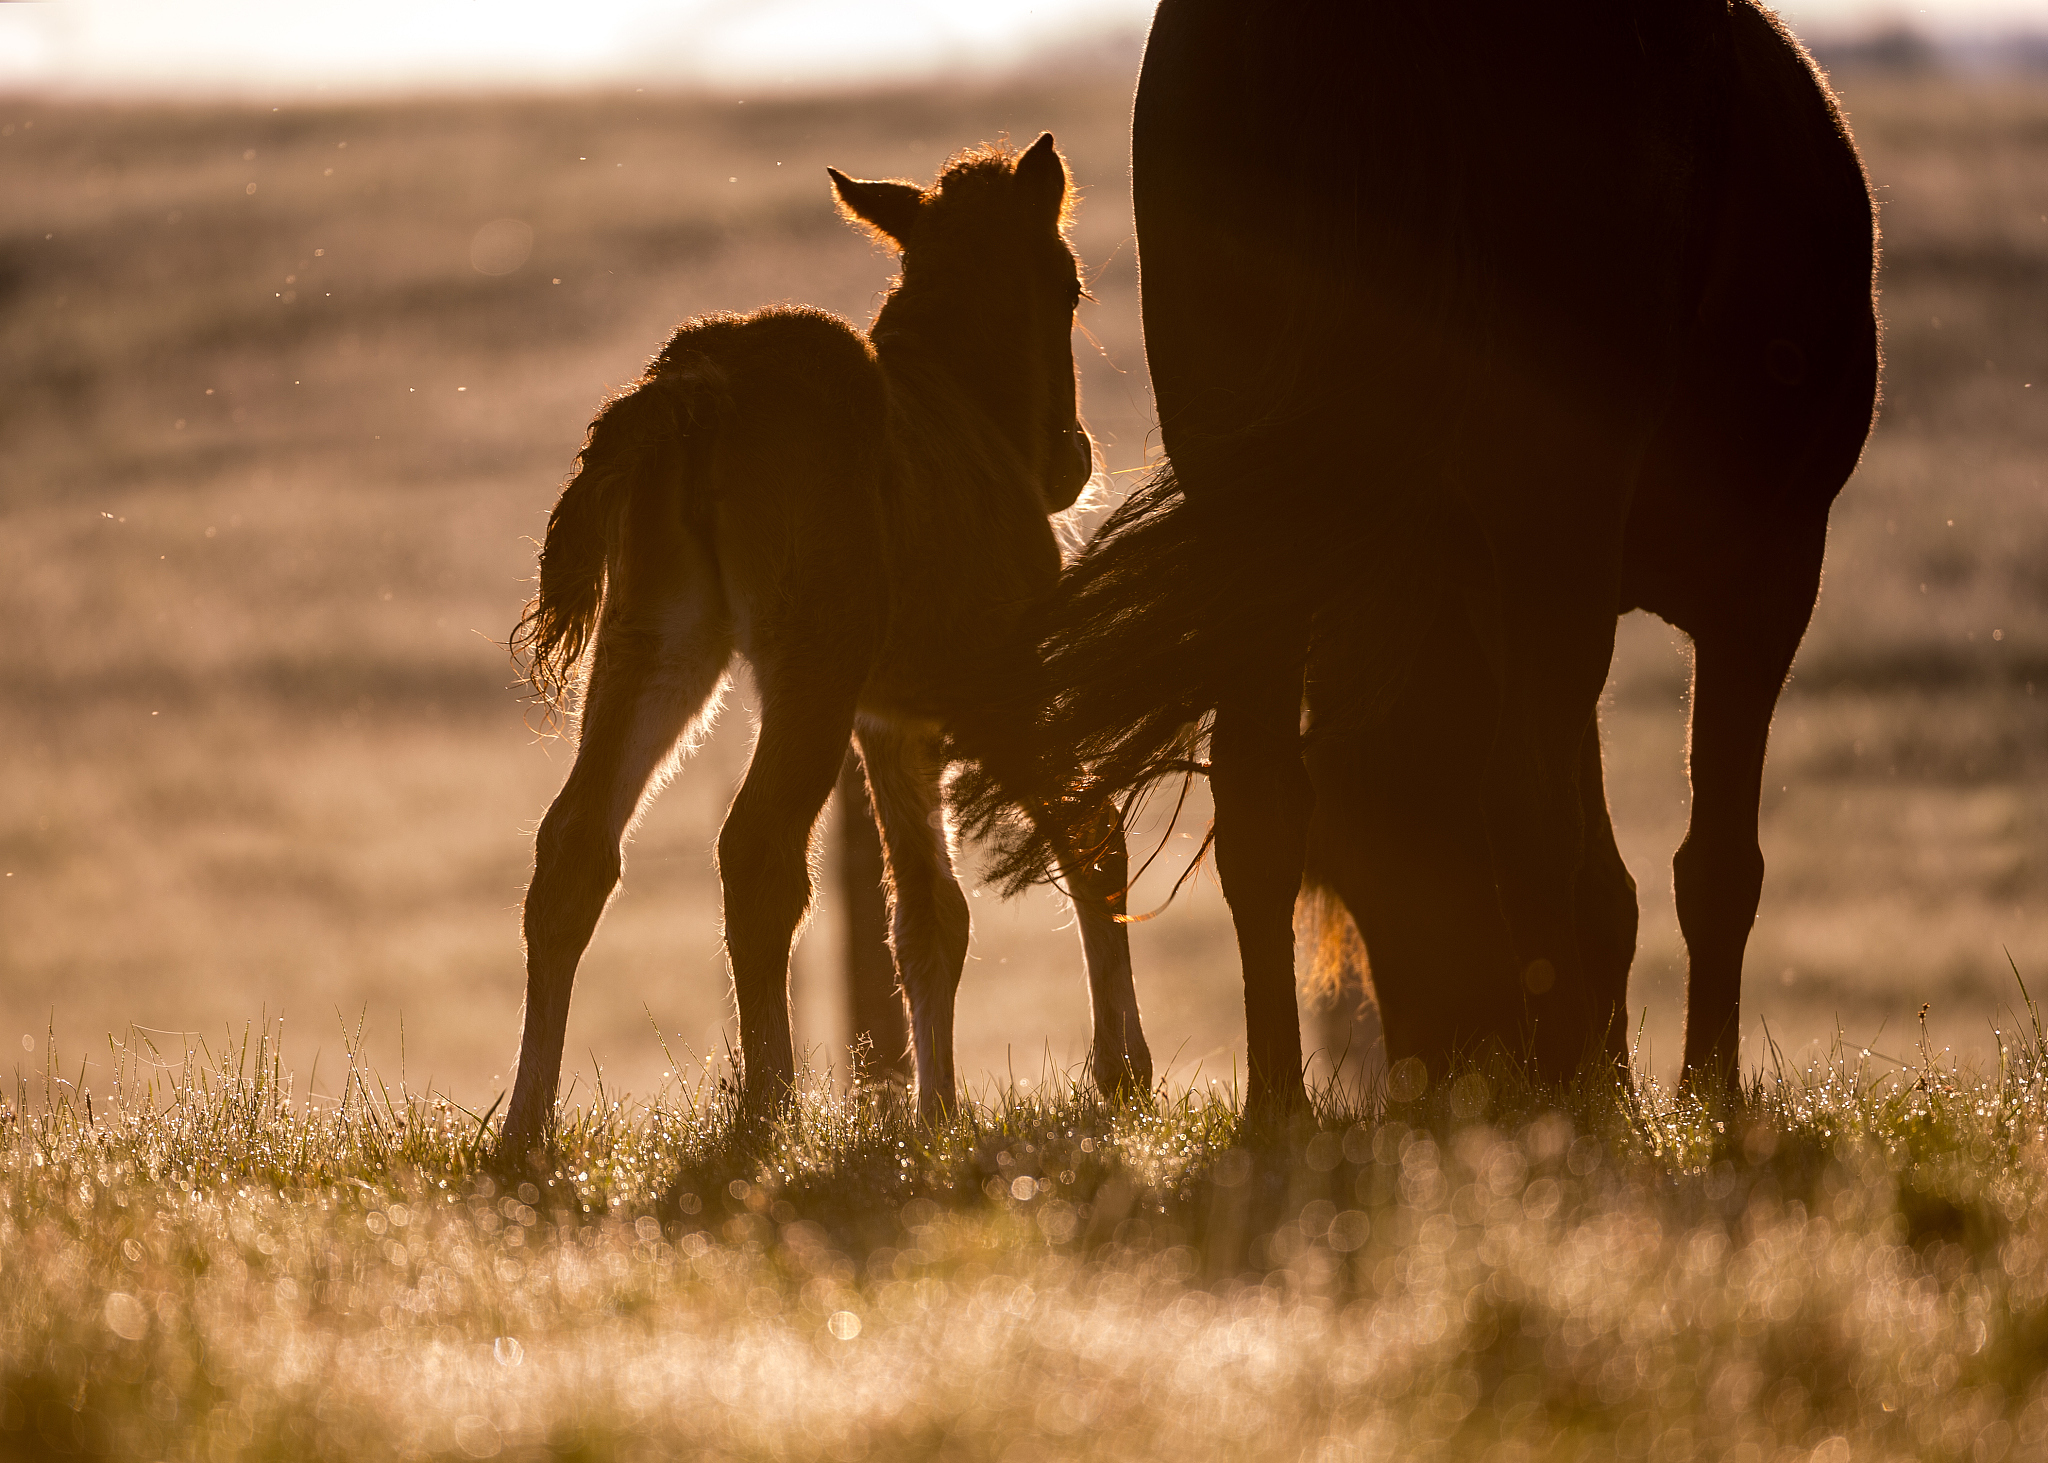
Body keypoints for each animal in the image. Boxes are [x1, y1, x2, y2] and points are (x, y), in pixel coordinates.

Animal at [500, 135, 1153, 1151]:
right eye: (1069, 283)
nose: (1070, 460)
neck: (970, 415)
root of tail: (697, 386)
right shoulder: (995, 687)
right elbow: (1092, 835)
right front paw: (1121, 1073)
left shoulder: (893, 719)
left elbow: (929, 916)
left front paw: (936, 1114)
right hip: (811, 660)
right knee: (757, 852)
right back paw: (766, 1109)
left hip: (659, 642)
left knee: (576, 843)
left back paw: (527, 1127)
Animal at [954, 0, 1879, 1110]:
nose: (1438, 1073)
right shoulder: (1761, 578)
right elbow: (1710, 866)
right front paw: (1700, 1094)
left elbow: (1612, 879)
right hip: (1555, 529)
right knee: (1529, 816)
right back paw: (1567, 1105)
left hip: (1255, 525)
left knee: (1260, 801)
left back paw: (1281, 1105)